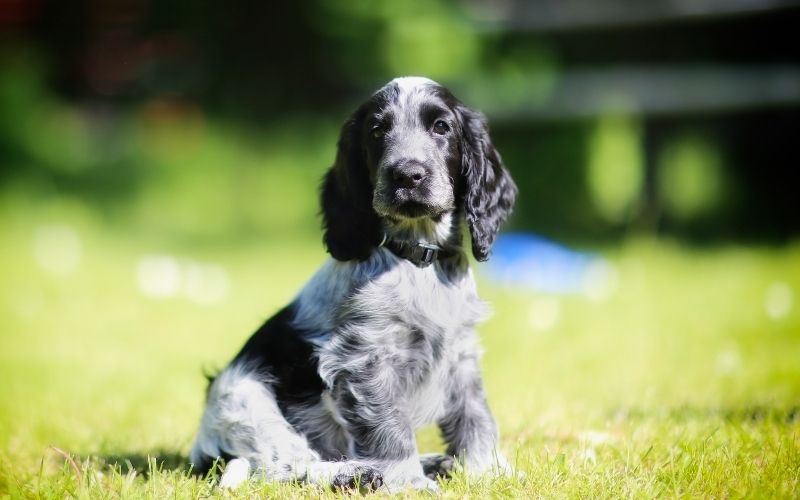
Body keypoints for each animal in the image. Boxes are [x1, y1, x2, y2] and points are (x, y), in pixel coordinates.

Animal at [191, 76, 520, 490]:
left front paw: (487, 472)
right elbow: (389, 430)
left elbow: (475, 415)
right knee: (286, 466)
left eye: (441, 127)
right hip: (247, 403)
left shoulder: (460, 355)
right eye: (377, 131)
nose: (407, 175)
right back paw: (357, 473)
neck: (418, 260)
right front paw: (407, 483)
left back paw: (433, 462)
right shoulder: (363, 360)